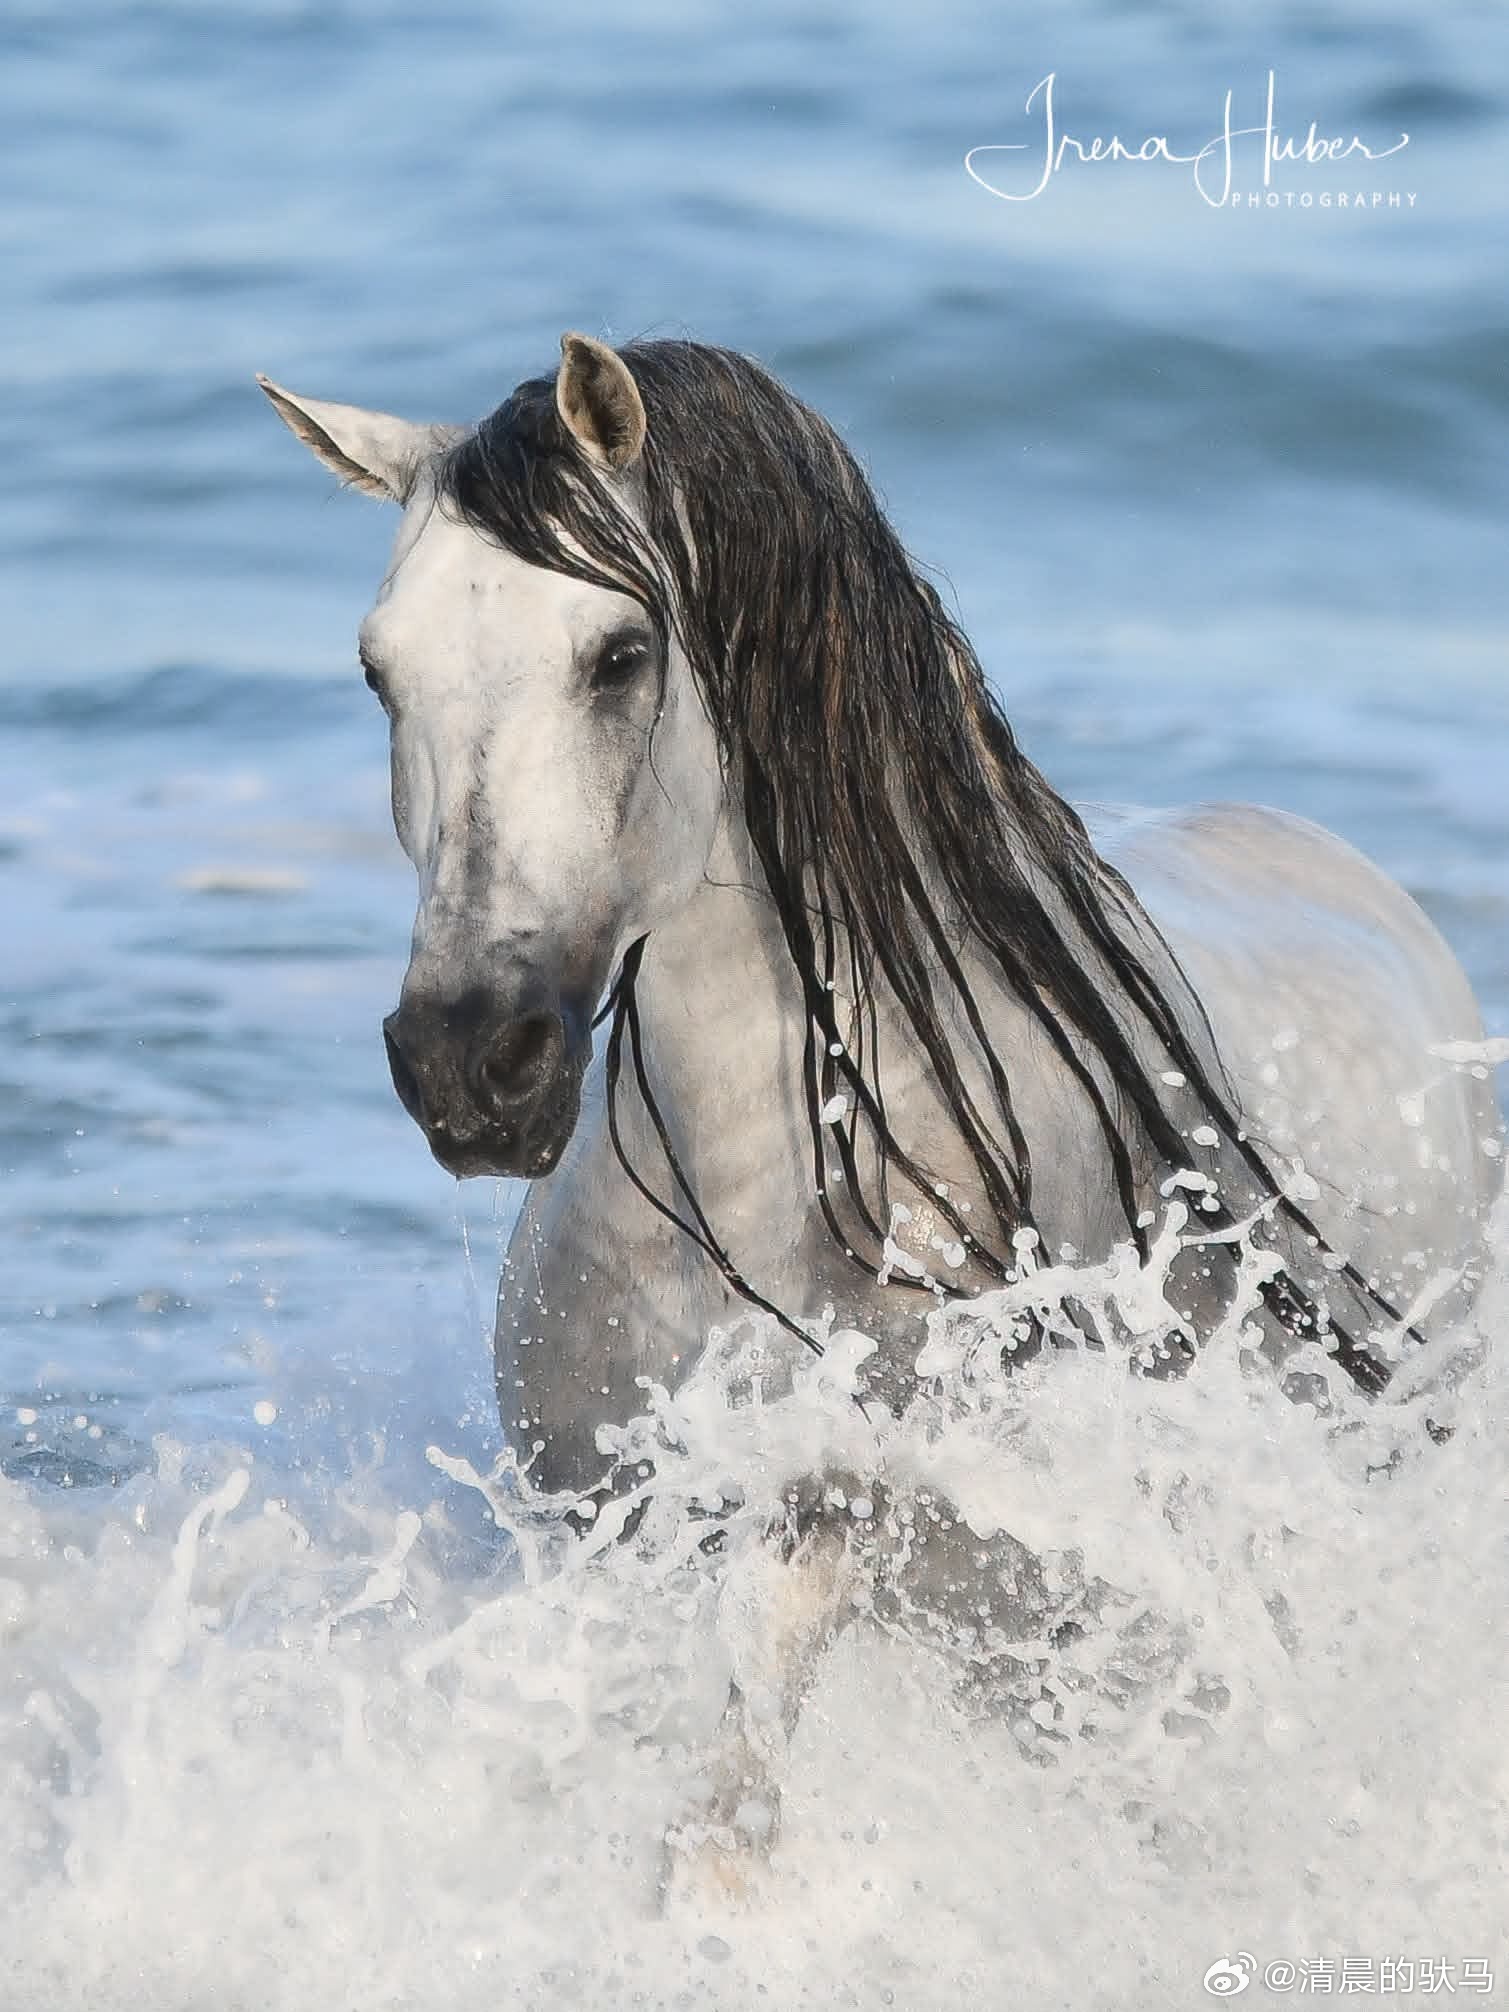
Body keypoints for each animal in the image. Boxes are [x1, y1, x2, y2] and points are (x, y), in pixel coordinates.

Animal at [261, 332, 1501, 1894]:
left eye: (617, 655)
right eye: (380, 670)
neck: (763, 1194)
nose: (471, 1061)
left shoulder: (872, 1504)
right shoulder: (609, 1524)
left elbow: (739, 1769)